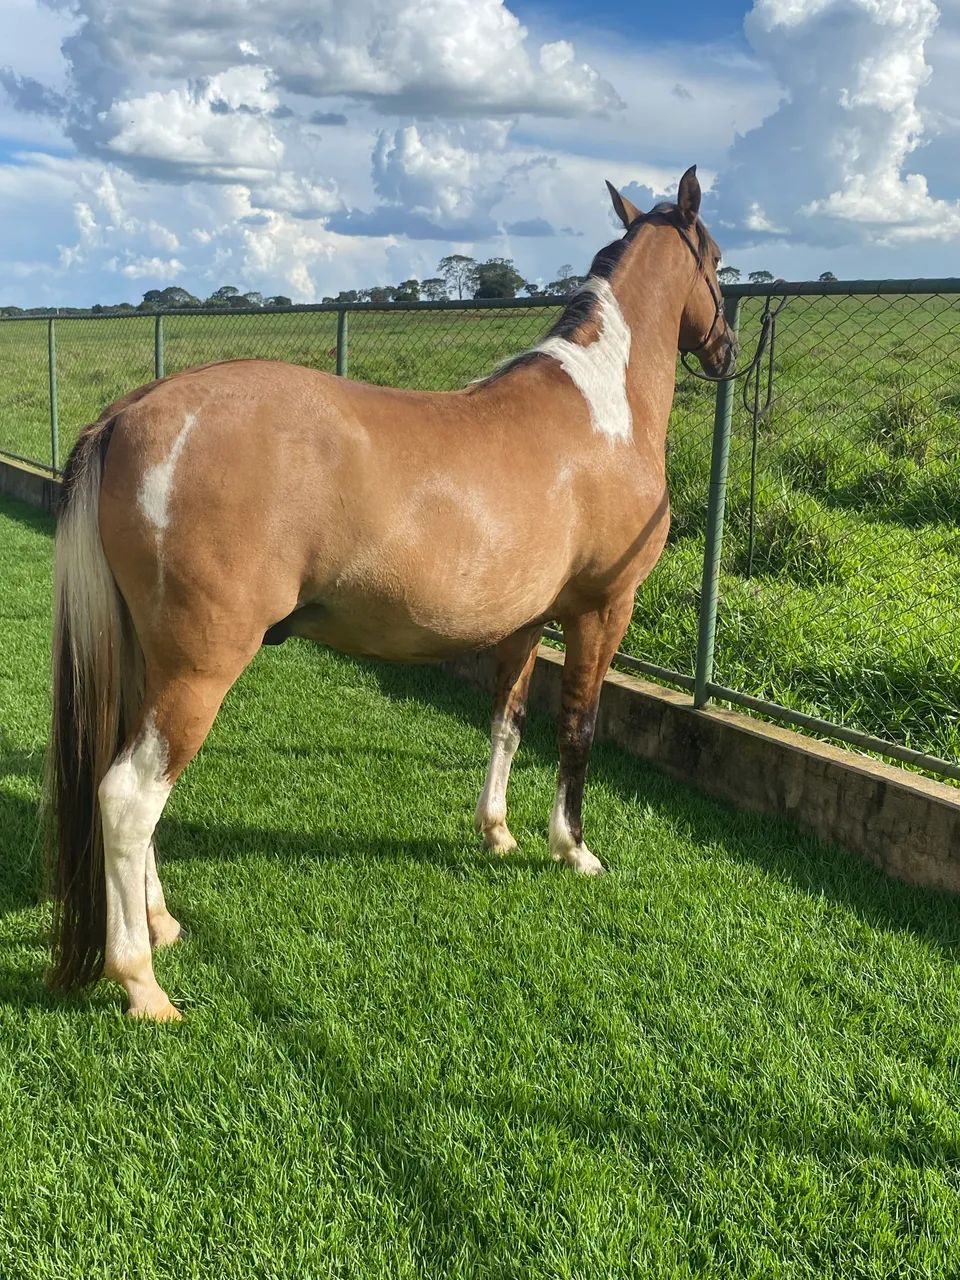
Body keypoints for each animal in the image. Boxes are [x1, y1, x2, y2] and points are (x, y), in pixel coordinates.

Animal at [46, 166, 735, 1020]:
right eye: (719, 262)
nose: (728, 350)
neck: (601, 410)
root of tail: (130, 411)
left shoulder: (525, 622)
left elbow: (507, 722)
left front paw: (496, 832)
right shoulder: (601, 611)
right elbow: (578, 729)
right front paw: (572, 849)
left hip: (149, 661)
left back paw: (162, 921)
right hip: (199, 668)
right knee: (130, 795)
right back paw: (142, 982)